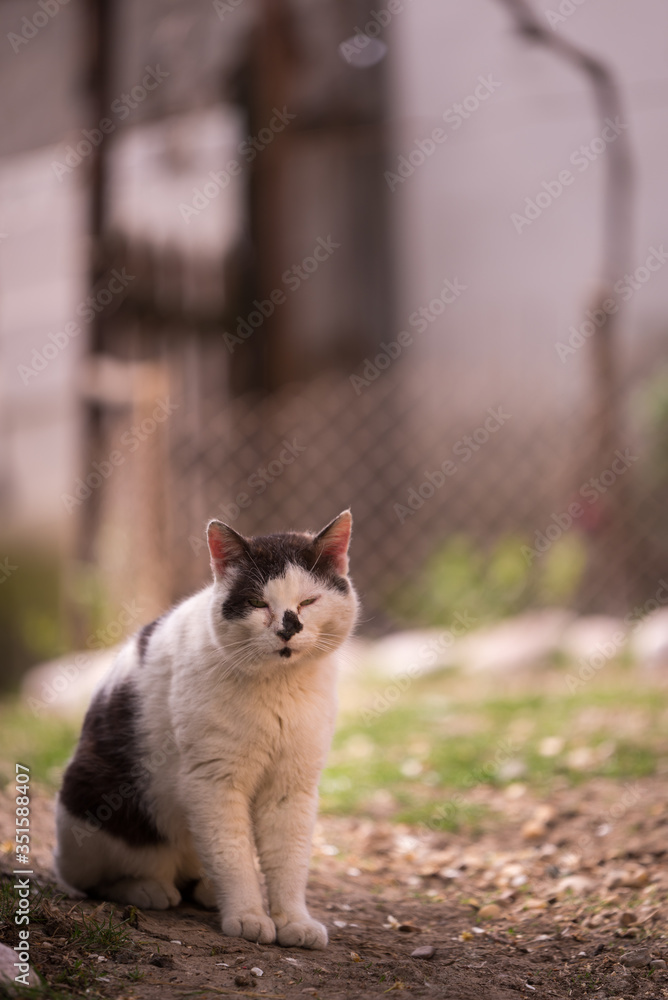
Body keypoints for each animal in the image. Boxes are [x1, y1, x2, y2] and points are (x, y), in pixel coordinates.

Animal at [54, 512, 358, 948]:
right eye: (257, 603)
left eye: (308, 601)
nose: (288, 628)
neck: (278, 688)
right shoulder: (214, 780)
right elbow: (233, 857)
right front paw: (248, 915)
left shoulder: (291, 786)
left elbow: (289, 862)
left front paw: (293, 921)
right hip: (91, 798)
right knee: (90, 879)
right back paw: (147, 889)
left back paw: (207, 891)